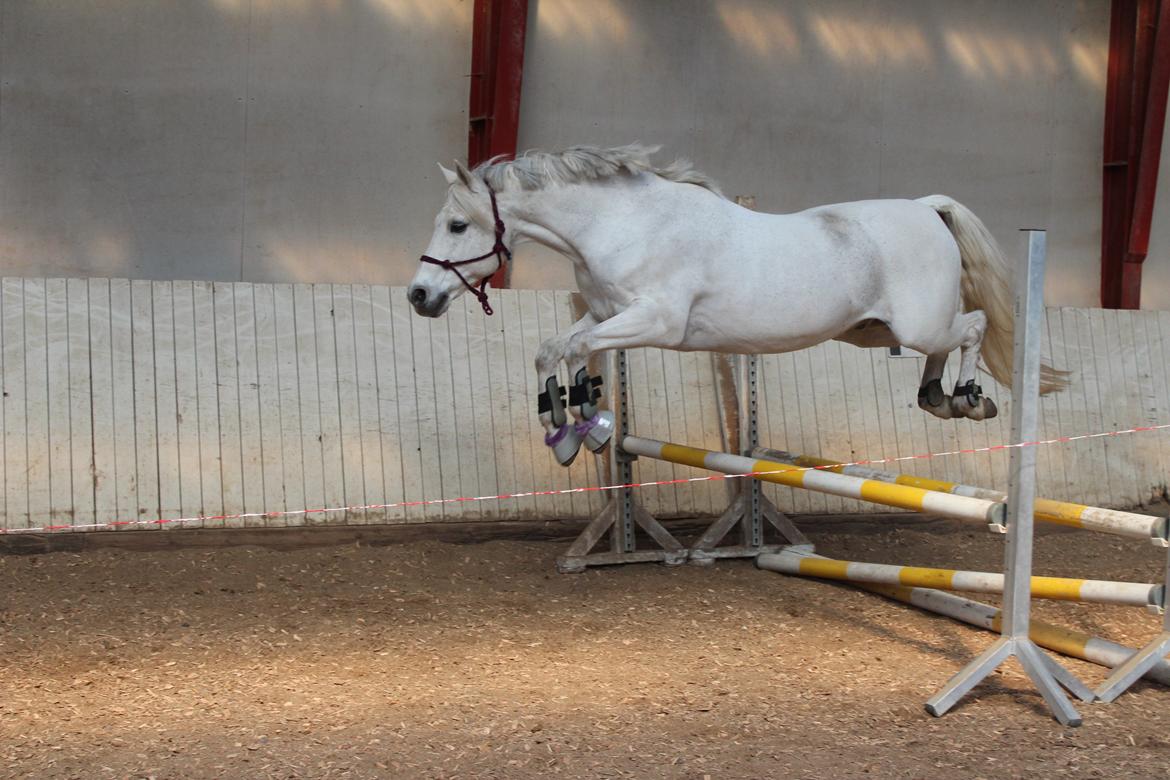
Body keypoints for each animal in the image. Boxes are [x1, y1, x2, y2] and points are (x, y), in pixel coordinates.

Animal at [414, 144, 1071, 467]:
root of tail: (926, 208)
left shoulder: (653, 322)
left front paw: (585, 427)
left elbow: (574, 349)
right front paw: (568, 425)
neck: (623, 223)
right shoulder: (606, 314)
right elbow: (552, 350)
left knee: (973, 328)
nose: (419, 296)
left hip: (917, 323)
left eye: (456, 225)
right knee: (944, 347)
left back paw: (967, 398)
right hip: (874, 329)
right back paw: (936, 398)